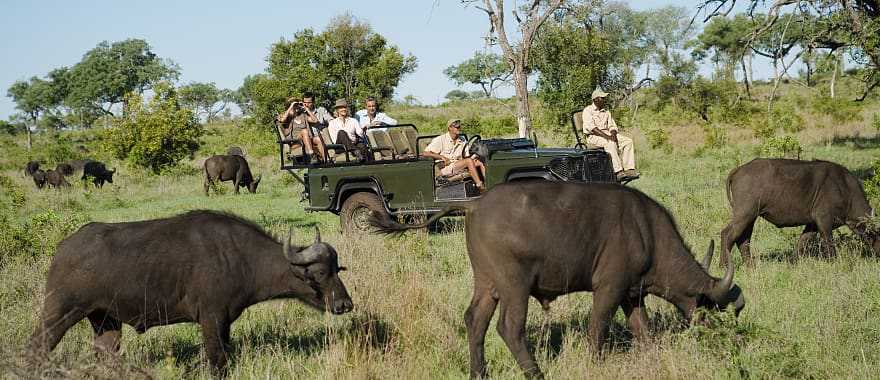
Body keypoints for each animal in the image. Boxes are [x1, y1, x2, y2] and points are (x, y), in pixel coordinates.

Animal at [372, 183, 744, 378]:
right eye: (715, 311)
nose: (726, 343)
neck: (647, 232)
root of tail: (474, 204)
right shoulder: (609, 289)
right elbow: (597, 327)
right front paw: (595, 363)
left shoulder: (631, 295)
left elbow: (644, 331)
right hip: (514, 286)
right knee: (509, 328)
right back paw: (534, 372)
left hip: (487, 284)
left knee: (474, 320)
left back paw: (479, 372)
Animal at [720, 159, 876, 266]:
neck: (845, 189)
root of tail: (739, 169)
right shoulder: (824, 220)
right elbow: (829, 243)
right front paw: (834, 262)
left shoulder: (812, 224)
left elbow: (802, 242)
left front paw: (794, 262)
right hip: (744, 214)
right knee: (727, 234)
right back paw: (724, 265)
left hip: (750, 217)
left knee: (743, 239)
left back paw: (750, 265)